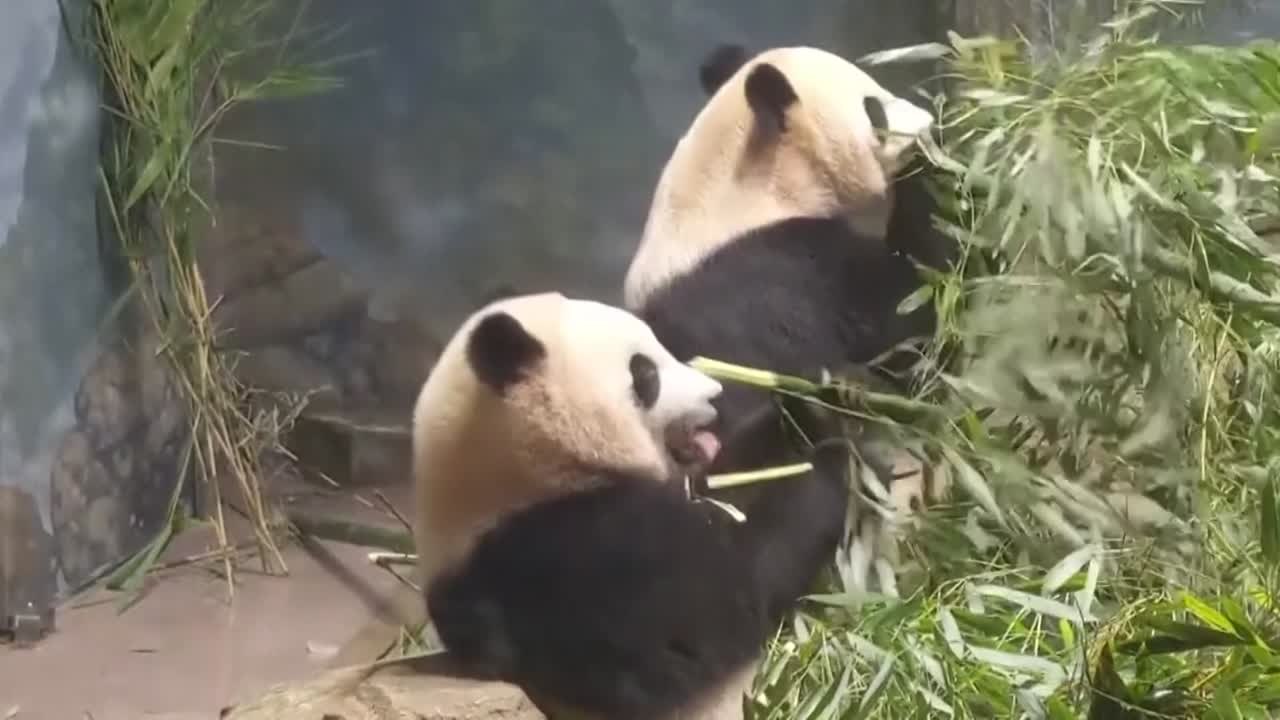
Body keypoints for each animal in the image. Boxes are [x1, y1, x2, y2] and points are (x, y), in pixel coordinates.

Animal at [412, 291, 855, 720]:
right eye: (645, 372)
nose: (715, 392)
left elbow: (725, 488)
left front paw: (809, 406)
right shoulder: (565, 557)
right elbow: (724, 602)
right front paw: (831, 452)